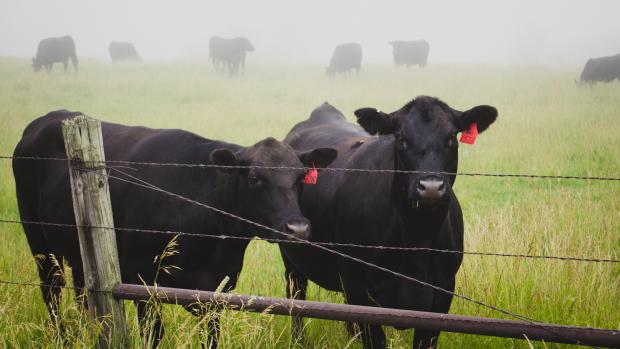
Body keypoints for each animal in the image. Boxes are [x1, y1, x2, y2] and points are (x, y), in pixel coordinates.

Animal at [12, 110, 336, 346]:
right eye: (255, 178)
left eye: (301, 177)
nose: (297, 228)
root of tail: (47, 120)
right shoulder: (142, 282)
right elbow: (154, 335)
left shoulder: (215, 290)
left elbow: (211, 337)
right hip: (37, 239)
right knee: (52, 290)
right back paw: (62, 338)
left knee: (82, 292)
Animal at [280, 96, 498, 348]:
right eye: (401, 138)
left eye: (452, 136)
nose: (431, 186)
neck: (417, 240)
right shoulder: (358, 288)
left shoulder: (443, 291)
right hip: (292, 260)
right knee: (297, 301)